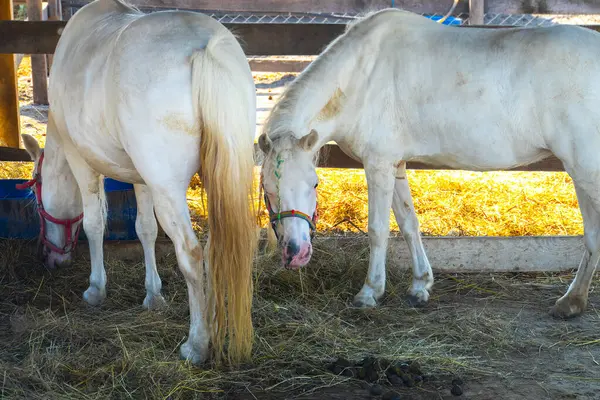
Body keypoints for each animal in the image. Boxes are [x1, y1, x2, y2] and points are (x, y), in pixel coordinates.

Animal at [18, 0, 258, 366]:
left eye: (35, 195)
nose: (51, 259)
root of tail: (205, 48)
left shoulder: (81, 160)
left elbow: (93, 223)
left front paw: (96, 289)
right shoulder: (142, 179)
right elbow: (145, 229)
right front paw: (153, 295)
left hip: (169, 189)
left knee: (191, 253)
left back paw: (197, 344)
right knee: (221, 249)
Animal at [260, 7, 600, 318]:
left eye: (314, 183)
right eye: (268, 189)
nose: (296, 254)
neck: (360, 75)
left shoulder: (378, 164)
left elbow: (378, 230)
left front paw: (369, 292)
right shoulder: (395, 164)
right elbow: (409, 224)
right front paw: (420, 286)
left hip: (586, 169)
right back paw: (571, 302)